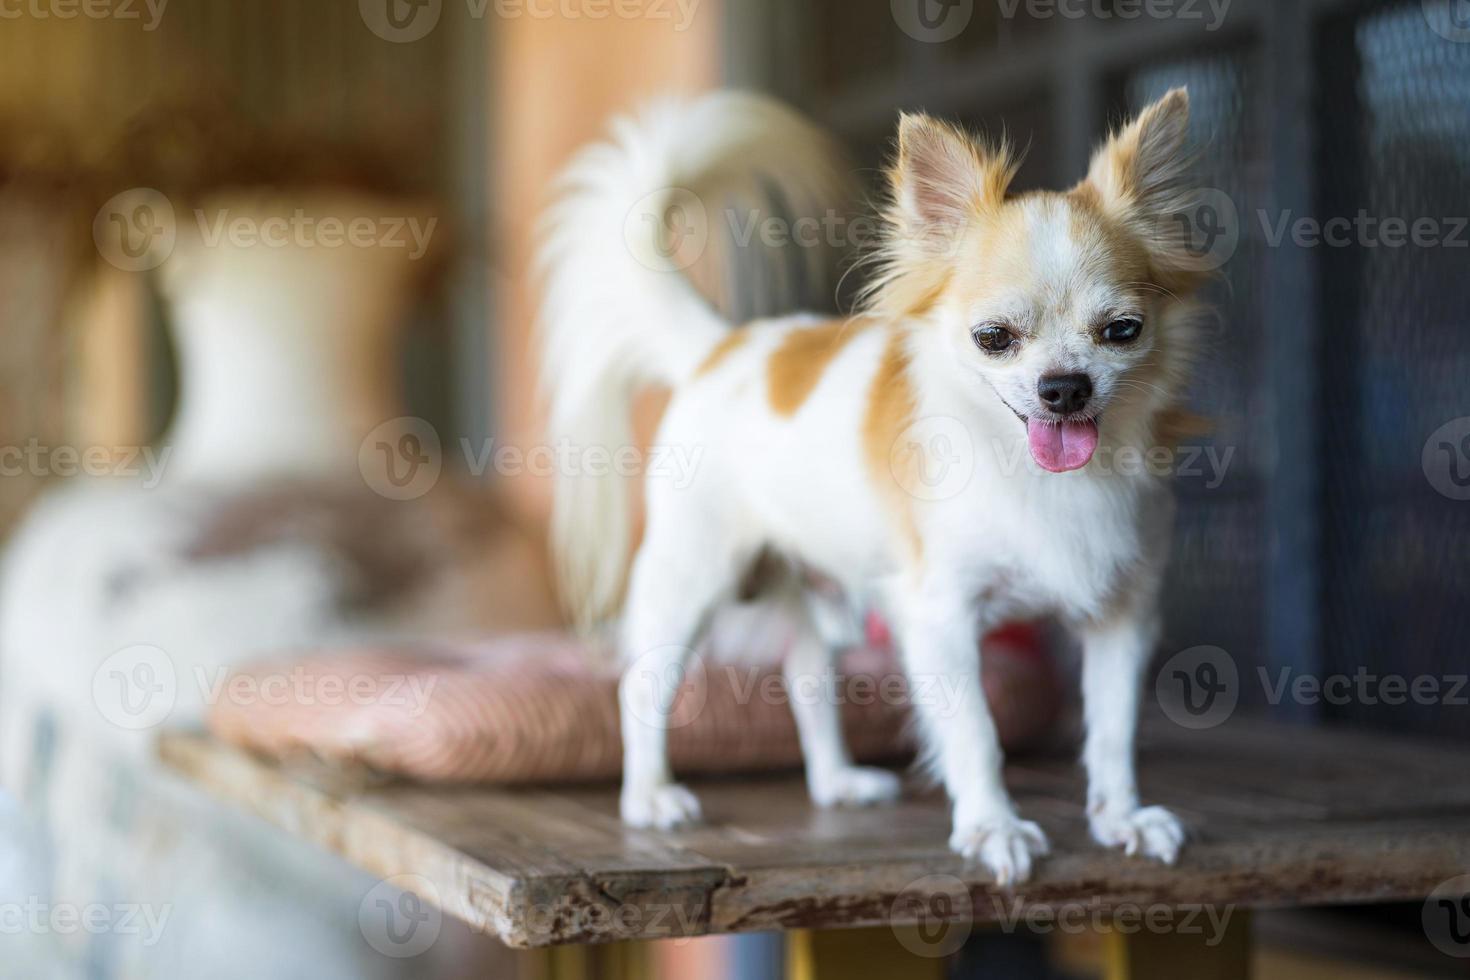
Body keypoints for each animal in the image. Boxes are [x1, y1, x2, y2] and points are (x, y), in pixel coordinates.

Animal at [540, 91, 1205, 887]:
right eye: (994, 338)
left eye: (1123, 330)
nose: (1065, 387)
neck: (1039, 475)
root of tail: (721, 346)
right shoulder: (942, 617)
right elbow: (976, 732)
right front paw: (992, 827)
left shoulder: (1121, 617)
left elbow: (1111, 729)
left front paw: (1120, 817)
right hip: (694, 577)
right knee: (643, 684)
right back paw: (649, 797)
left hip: (822, 594)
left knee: (806, 678)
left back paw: (836, 782)